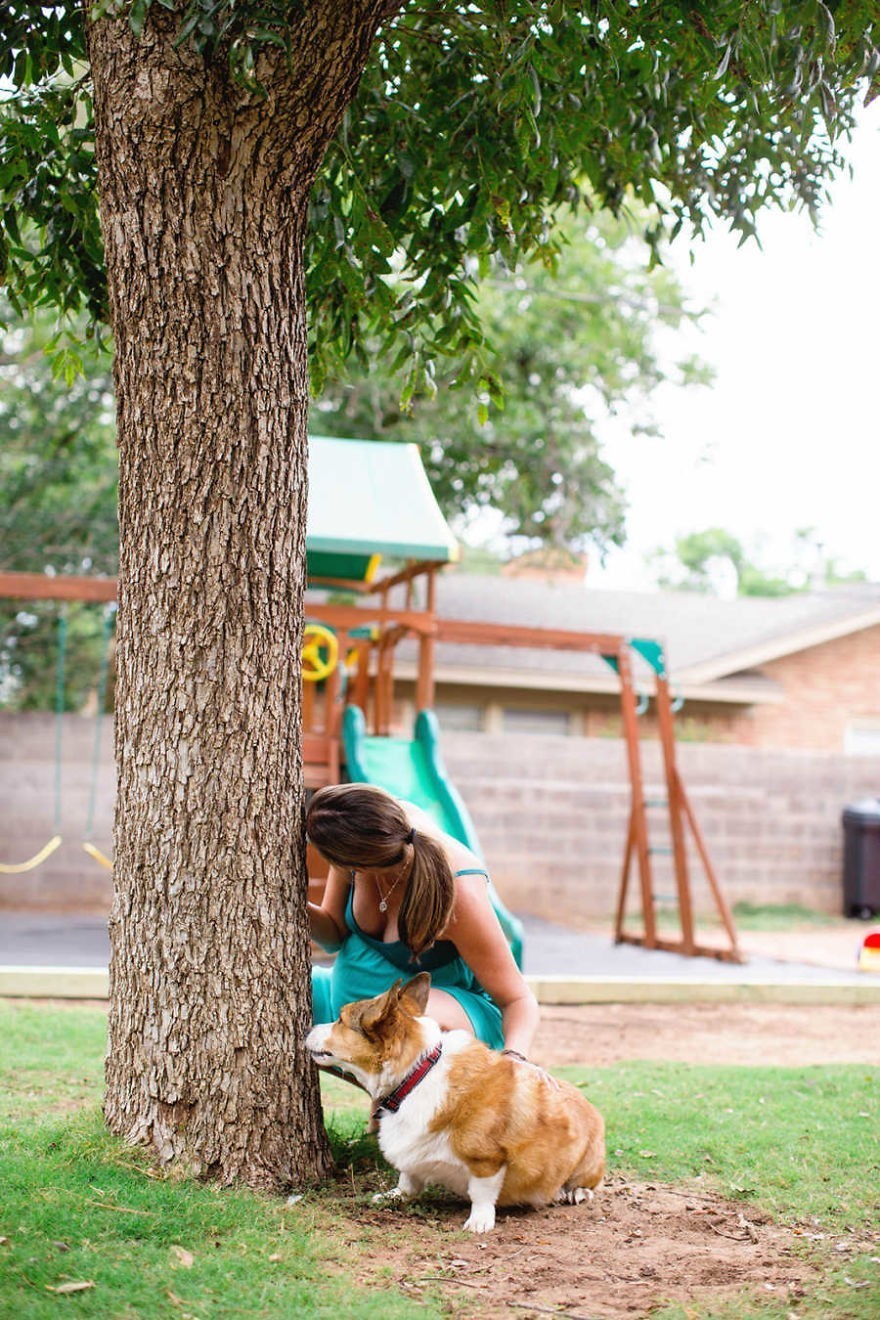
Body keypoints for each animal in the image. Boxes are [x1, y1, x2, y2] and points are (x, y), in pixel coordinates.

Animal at [304, 971, 606, 1235]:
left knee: (588, 1182)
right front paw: (393, 1196)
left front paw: (479, 1221)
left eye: (340, 1020)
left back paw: (577, 1191)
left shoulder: (487, 1159)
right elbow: (407, 1180)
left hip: (588, 1162)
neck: (417, 1075)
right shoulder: (412, 1158)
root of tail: (590, 1107)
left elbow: (482, 1193)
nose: (308, 1026)